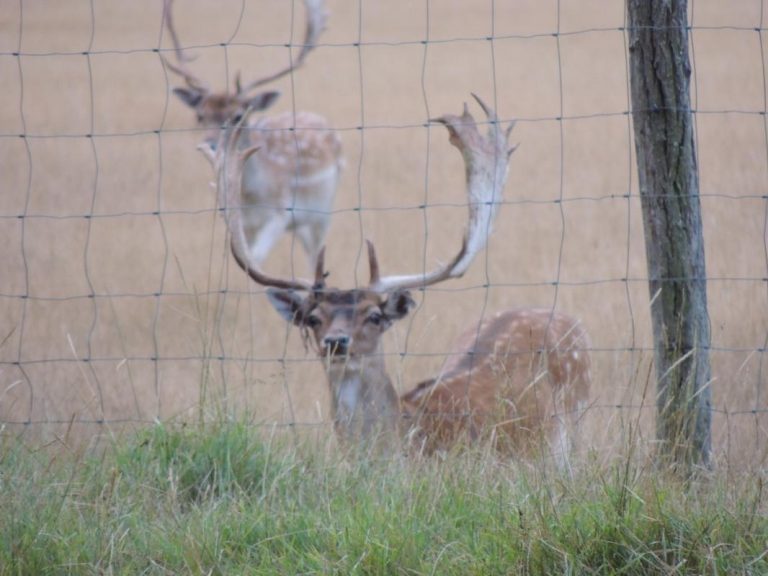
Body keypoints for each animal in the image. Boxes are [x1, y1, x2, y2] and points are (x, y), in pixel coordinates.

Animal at [165, 0, 342, 270]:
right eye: (200, 115)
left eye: (239, 115)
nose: (211, 144)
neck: (250, 195)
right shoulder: (242, 222)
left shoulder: (279, 214)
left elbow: (255, 258)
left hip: (322, 212)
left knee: (315, 253)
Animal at [201, 94, 592, 464]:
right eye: (313, 318)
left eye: (374, 316)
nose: (336, 341)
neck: (408, 443)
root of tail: (558, 315)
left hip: (573, 429)